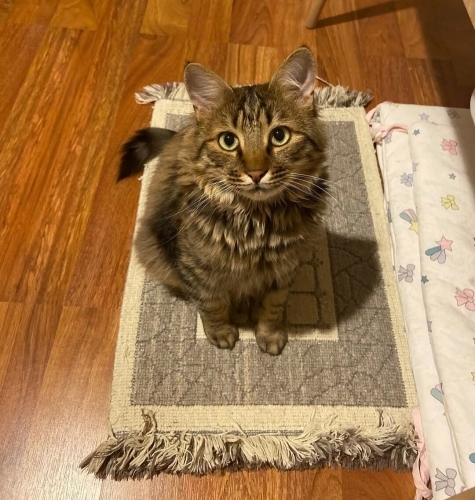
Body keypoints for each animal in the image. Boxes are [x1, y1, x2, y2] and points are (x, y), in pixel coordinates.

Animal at [120, 47, 328, 356]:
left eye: (279, 136)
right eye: (228, 141)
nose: (256, 173)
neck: (257, 222)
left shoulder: (284, 271)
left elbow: (273, 307)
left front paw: (269, 335)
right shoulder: (199, 271)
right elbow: (212, 304)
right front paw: (220, 333)